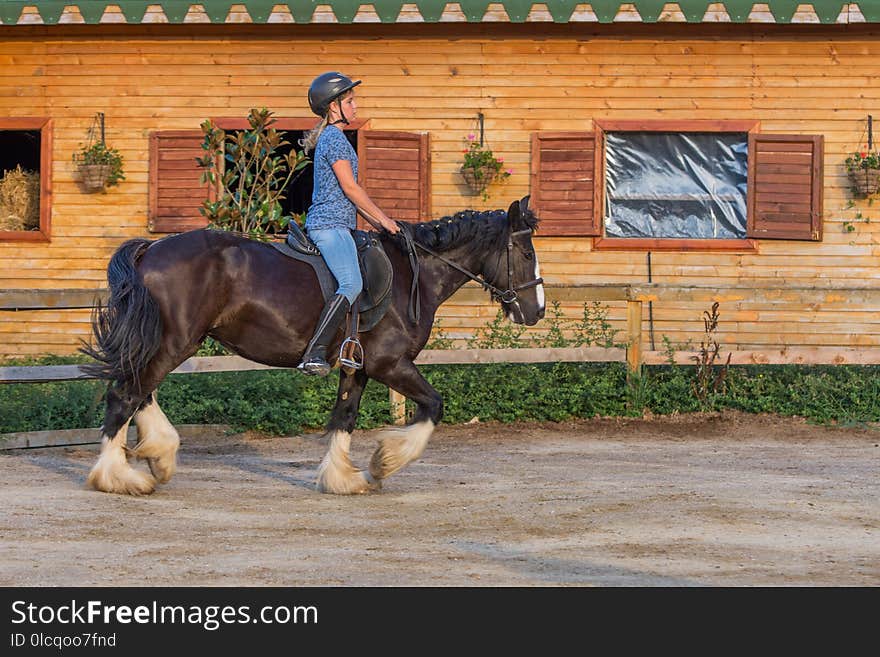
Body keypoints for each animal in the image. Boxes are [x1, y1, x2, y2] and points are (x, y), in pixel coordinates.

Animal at [82, 193, 548, 492]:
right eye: (526, 254)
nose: (536, 311)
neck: (412, 276)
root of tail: (151, 248)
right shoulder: (390, 364)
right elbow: (433, 405)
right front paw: (383, 462)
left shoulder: (358, 366)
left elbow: (345, 416)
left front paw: (344, 479)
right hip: (176, 341)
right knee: (126, 393)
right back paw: (118, 477)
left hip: (165, 341)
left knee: (137, 389)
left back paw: (158, 456)